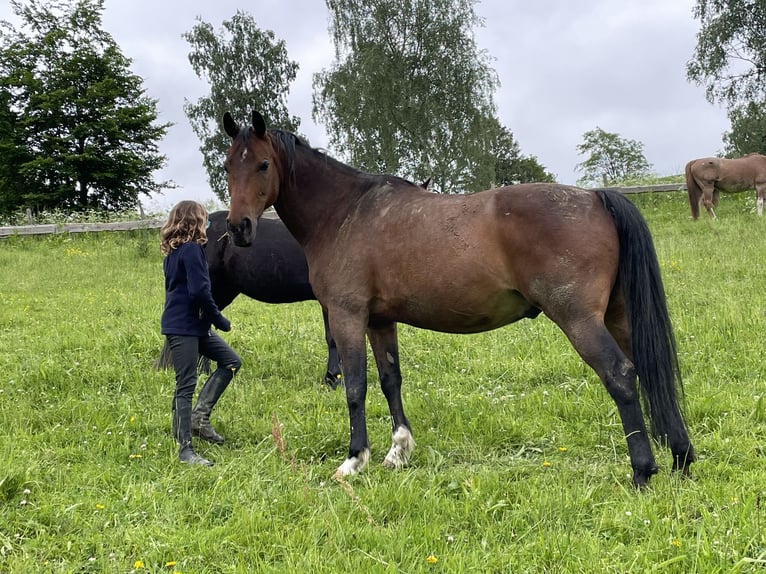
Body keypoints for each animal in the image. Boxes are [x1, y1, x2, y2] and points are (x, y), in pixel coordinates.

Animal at [220, 110, 696, 488]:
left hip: (579, 319)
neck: (345, 212)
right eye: (227, 167)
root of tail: (595, 197)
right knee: (648, 368)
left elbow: (356, 387)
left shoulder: (346, 315)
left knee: (621, 375)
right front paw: (398, 451)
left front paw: (355, 460)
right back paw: (681, 458)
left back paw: (642, 470)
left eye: (263, 164)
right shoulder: (379, 320)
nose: (239, 228)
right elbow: (391, 380)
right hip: (618, 316)